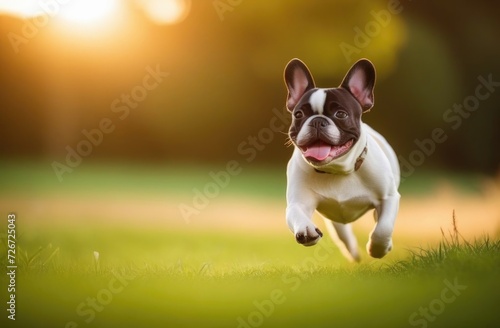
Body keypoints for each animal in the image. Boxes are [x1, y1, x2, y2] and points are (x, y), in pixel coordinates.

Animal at [284, 57, 400, 260]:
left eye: (341, 114)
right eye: (299, 114)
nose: (317, 120)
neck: (336, 170)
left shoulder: (389, 197)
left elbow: (383, 228)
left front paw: (378, 248)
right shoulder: (298, 202)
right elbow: (297, 214)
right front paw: (305, 230)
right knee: (342, 232)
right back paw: (352, 251)